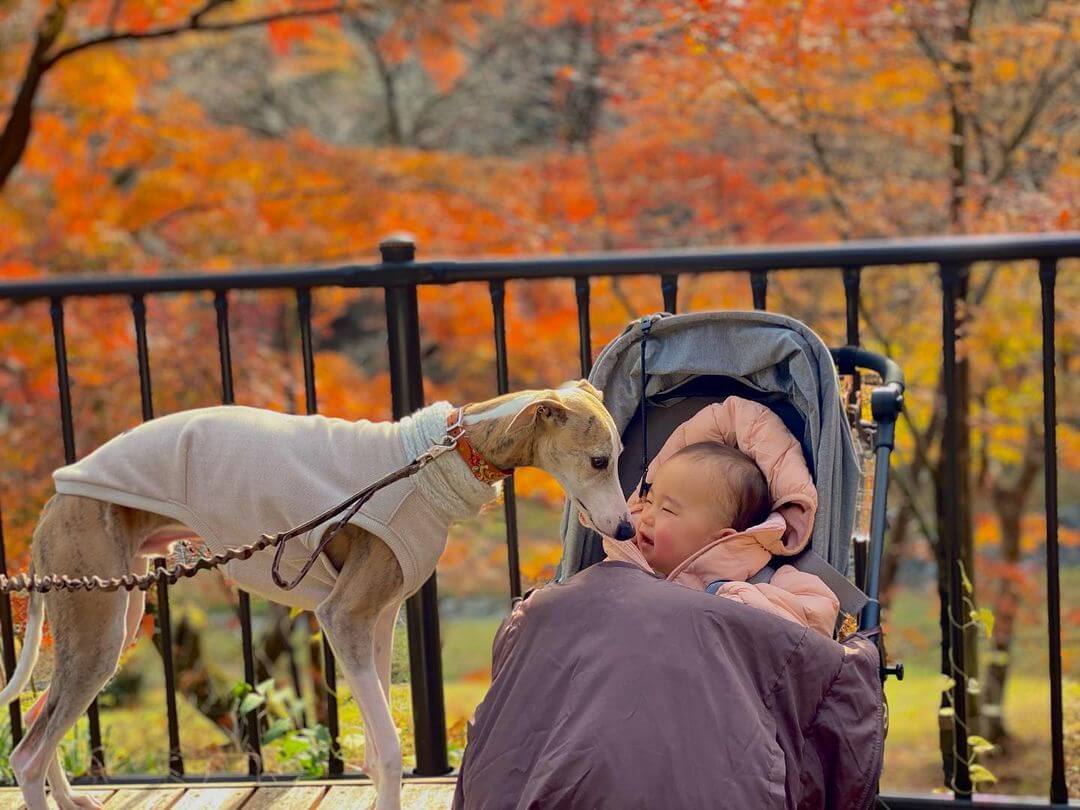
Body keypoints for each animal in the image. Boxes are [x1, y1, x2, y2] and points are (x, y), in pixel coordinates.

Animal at [0, 380, 630, 810]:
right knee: (25, 754)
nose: (625, 529)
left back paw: (72, 797)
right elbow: (391, 750)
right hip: (99, 622)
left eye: (620, 457)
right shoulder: (343, 617)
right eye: (599, 460)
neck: (441, 455)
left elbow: (376, 748)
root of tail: (57, 495)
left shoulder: (378, 622)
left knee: (36, 714)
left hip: (113, 613)